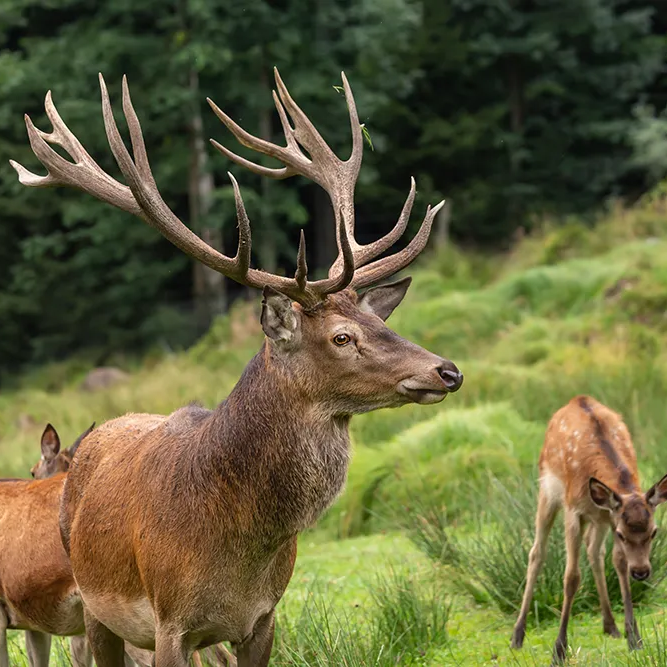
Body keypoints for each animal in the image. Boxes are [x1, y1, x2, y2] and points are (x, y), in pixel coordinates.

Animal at [10, 66, 463, 667]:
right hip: (95, 609)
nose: (447, 371)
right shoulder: (170, 624)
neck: (236, 549)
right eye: (342, 337)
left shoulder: (263, 619)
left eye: (379, 321)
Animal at [510, 395, 667, 664]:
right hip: (548, 492)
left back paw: (610, 626)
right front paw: (558, 651)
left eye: (654, 532)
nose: (641, 572)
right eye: (623, 534)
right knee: (536, 553)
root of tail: (576, 399)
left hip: (600, 517)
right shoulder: (574, 511)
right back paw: (517, 636)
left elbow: (619, 563)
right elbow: (571, 577)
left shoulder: (611, 515)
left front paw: (634, 639)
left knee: (595, 551)